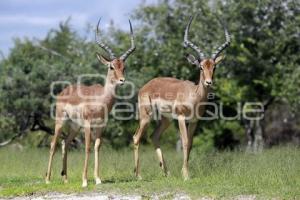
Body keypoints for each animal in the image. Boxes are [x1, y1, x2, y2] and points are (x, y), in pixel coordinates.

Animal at [45, 18, 136, 188]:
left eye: (124, 67)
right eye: (111, 66)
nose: (122, 80)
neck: (100, 101)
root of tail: (63, 91)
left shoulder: (100, 126)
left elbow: (97, 147)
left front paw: (98, 179)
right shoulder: (88, 125)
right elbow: (87, 147)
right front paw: (85, 181)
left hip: (74, 126)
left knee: (65, 143)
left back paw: (65, 178)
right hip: (61, 122)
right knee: (53, 144)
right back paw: (47, 179)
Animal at [132, 16, 231, 180]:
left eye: (214, 67)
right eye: (201, 67)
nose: (209, 82)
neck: (194, 96)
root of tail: (146, 85)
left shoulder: (194, 121)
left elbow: (190, 143)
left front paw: (183, 172)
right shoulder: (181, 117)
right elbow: (184, 142)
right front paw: (186, 175)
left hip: (165, 119)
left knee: (154, 136)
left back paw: (167, 173)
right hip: (146, 116)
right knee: (136, 137)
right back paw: (138, 175)